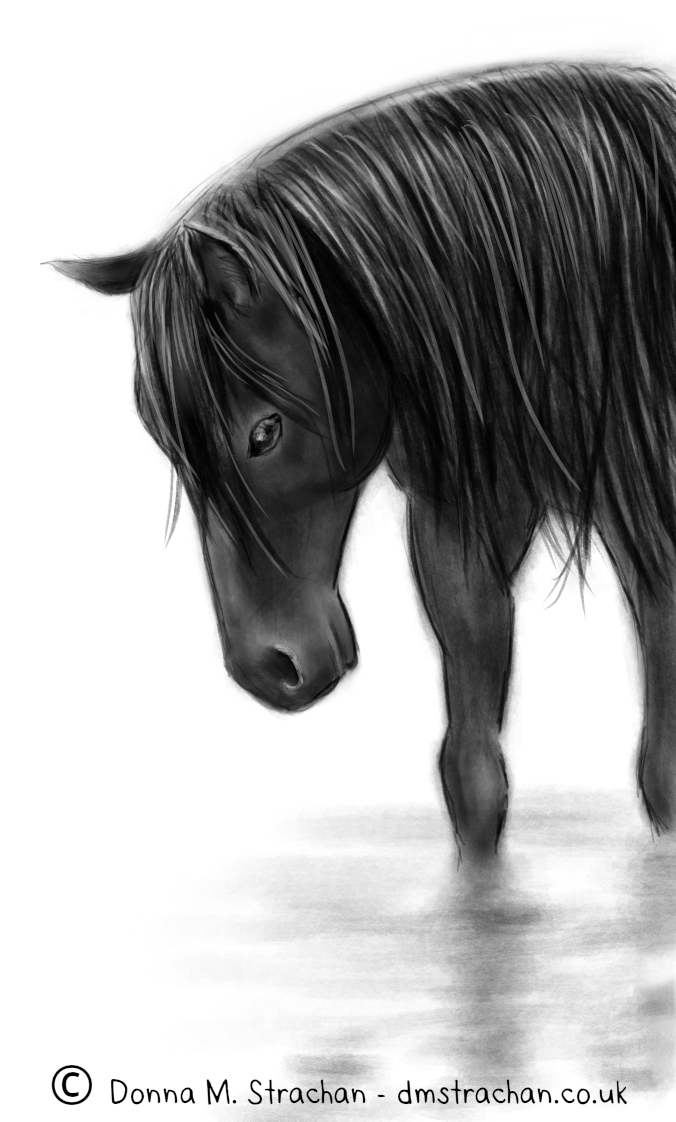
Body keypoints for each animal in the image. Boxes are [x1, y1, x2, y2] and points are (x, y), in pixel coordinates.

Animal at [54, 60, 676, 859]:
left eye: (265, 434)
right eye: (165, 441)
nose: (269, 669)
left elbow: (660, 766)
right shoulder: (469, 508)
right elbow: (471, 770)